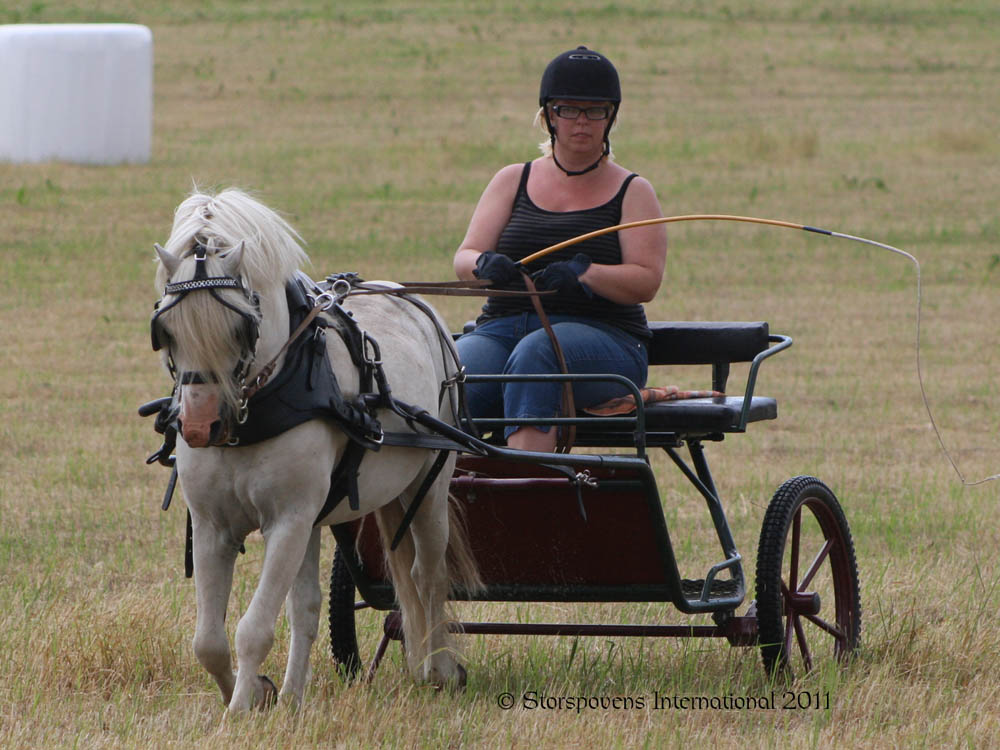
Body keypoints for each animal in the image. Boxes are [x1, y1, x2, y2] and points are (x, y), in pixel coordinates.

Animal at [147, 188, 476, 712]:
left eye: (241, 327)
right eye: (166, 329)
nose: (199, 426)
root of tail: (409, 297)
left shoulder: (288, 519)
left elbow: (253, 629)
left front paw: (238, 711)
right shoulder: (214, 525)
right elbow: (209, 641)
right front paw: (256, 693)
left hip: (429, 488)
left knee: (428, 576)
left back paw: (438, 667)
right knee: (310, 606)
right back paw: (294, 696)